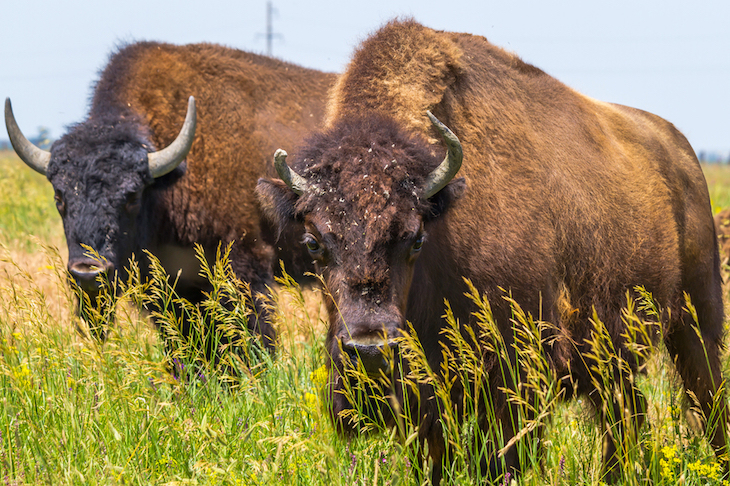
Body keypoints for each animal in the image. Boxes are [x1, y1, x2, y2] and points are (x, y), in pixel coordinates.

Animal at [258, 18, 728, 482]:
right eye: (314, 242)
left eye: (416, 238)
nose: (370, 351)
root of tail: (681, 155)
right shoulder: (427, 404)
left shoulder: (514, 378)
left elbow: (503, 457)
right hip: (613, 356)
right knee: (626, 417)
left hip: (697, 322)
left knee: (707, 402)